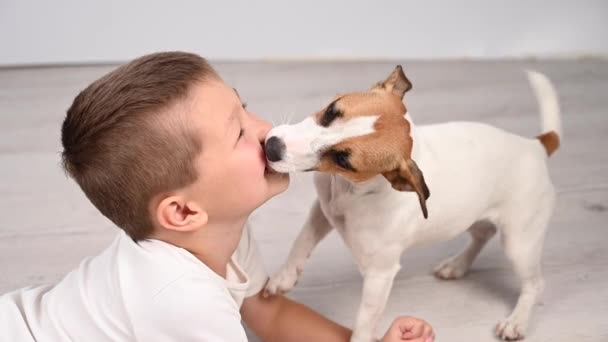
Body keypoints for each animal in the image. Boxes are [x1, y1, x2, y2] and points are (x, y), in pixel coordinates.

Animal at [262, 65, 560, 340]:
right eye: (332, 111)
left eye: (343, 160)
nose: (272, 147)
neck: (353, 191)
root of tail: (534, 145)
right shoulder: (322, 211)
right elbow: (301, 242)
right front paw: (283, 278)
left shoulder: (380, 275)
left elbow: (364, 322)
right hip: (470, 216)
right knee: (482, 234)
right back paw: (457, 265)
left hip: (519, 244)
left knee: (535, 283)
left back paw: (517, 321)